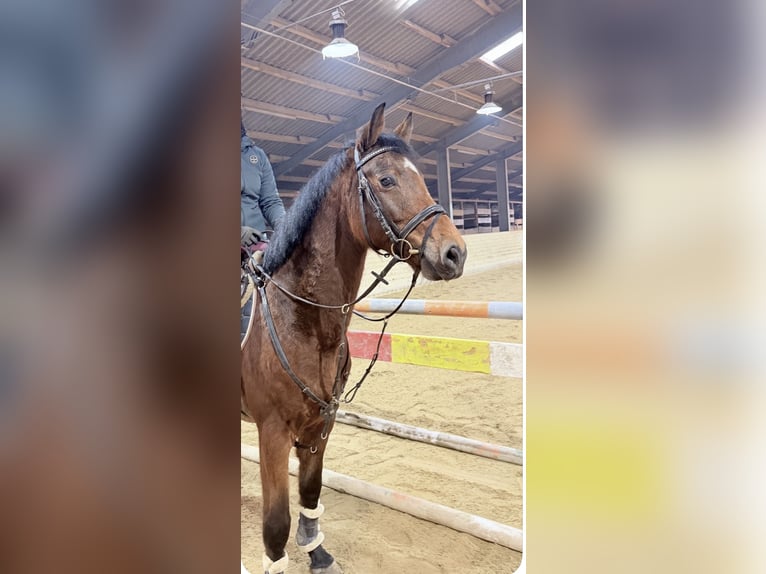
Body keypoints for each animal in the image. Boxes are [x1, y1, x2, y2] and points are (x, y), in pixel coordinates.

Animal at [241, 103, 467, 574]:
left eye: (422, 176)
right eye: (386, 180)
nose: (455, 253)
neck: (304, 321)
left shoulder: (321, 423)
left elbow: (311, 492)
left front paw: (317, 552)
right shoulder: (272, 431)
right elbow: (275, 523)